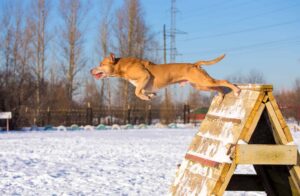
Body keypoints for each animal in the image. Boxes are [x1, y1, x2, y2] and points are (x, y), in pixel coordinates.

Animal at [90, 52, 240, 100]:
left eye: (101, 64)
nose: (91, 70)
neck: (122, 65)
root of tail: (194, 64)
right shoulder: (144, 84)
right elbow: (141, 90)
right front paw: (150, 95)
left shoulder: (145, 76)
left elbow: (137, 92)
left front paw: (146, 97)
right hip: (200, 85)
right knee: (217, 87)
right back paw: (221, 95)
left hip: (204, 81)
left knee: (224, 81)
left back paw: (236, 90)